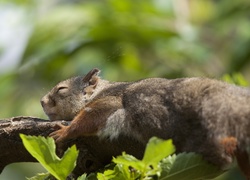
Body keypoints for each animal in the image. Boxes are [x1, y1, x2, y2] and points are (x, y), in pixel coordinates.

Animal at [41, 68, 250, 178]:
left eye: (61, 89)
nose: (42, 102)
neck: (99, 91)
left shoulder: (110, 101)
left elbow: (91, 117)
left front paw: (65, 131)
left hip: (209, 120)